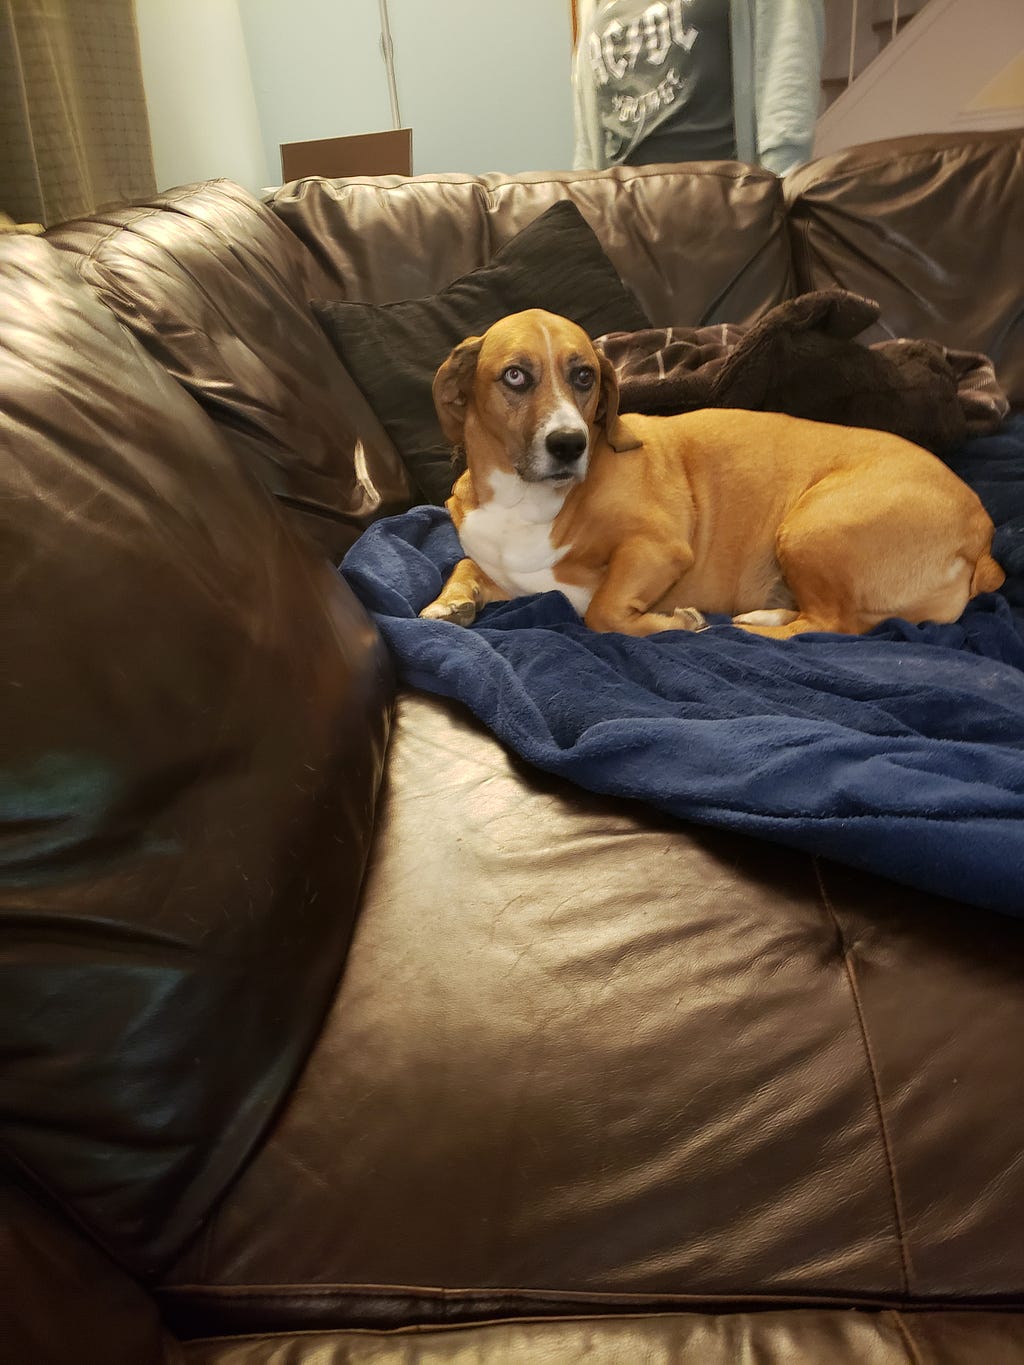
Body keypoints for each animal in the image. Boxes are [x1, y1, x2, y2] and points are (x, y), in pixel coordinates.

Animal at [420, 309, 1004, 638]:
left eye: (584, 376)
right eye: (515, 376)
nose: (569, 444)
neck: (524, 499)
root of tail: (983, 532)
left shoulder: (659, 547)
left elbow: (602, 611)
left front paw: (672, 623)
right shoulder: (505, 570)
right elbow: (464, 566)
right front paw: (449, 603)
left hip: (814, 526)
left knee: (833, 625)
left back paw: (753, 630)